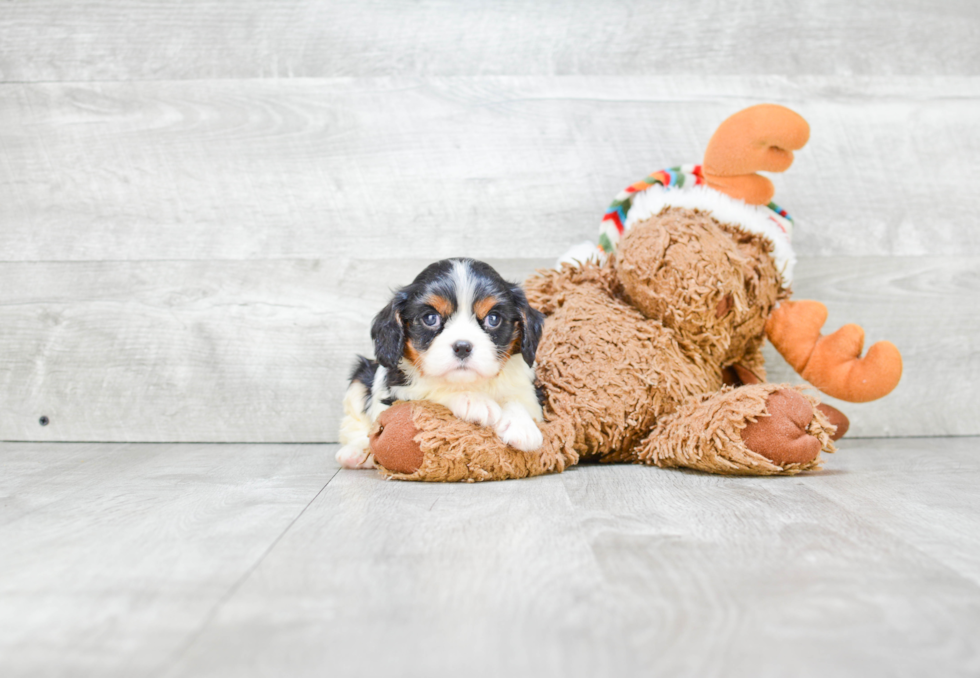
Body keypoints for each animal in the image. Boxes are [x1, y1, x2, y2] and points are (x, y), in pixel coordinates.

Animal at [338, 258, 548, 470]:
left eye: (493, 318)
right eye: (430, 318)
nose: (462, 347)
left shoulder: (528, 390)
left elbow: (518, 399)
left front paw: (521, 425)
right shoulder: (399, 390)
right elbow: (432, 389)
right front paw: (474, 400)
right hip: (360, 378)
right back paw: (356, 452)